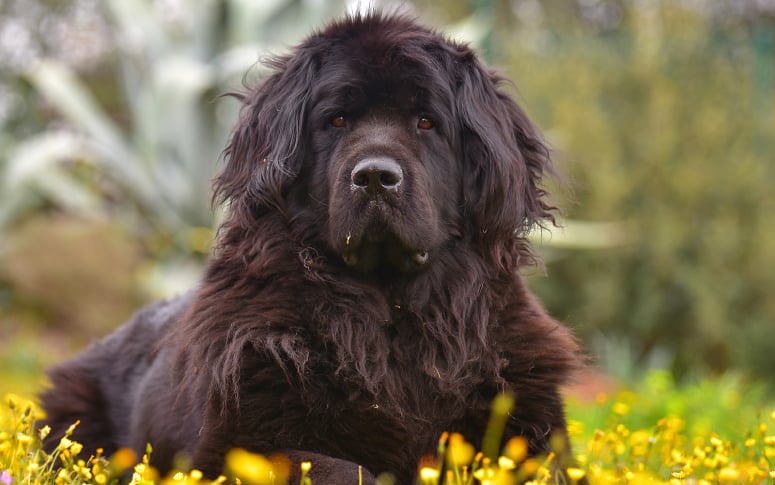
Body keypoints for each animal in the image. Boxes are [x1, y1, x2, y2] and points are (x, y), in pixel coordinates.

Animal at [39, 13, 584, 482]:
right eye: (337, 120)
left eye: (427, 122)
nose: (375, 176)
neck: (392, 316)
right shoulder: (234, 442)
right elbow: (343, 469)